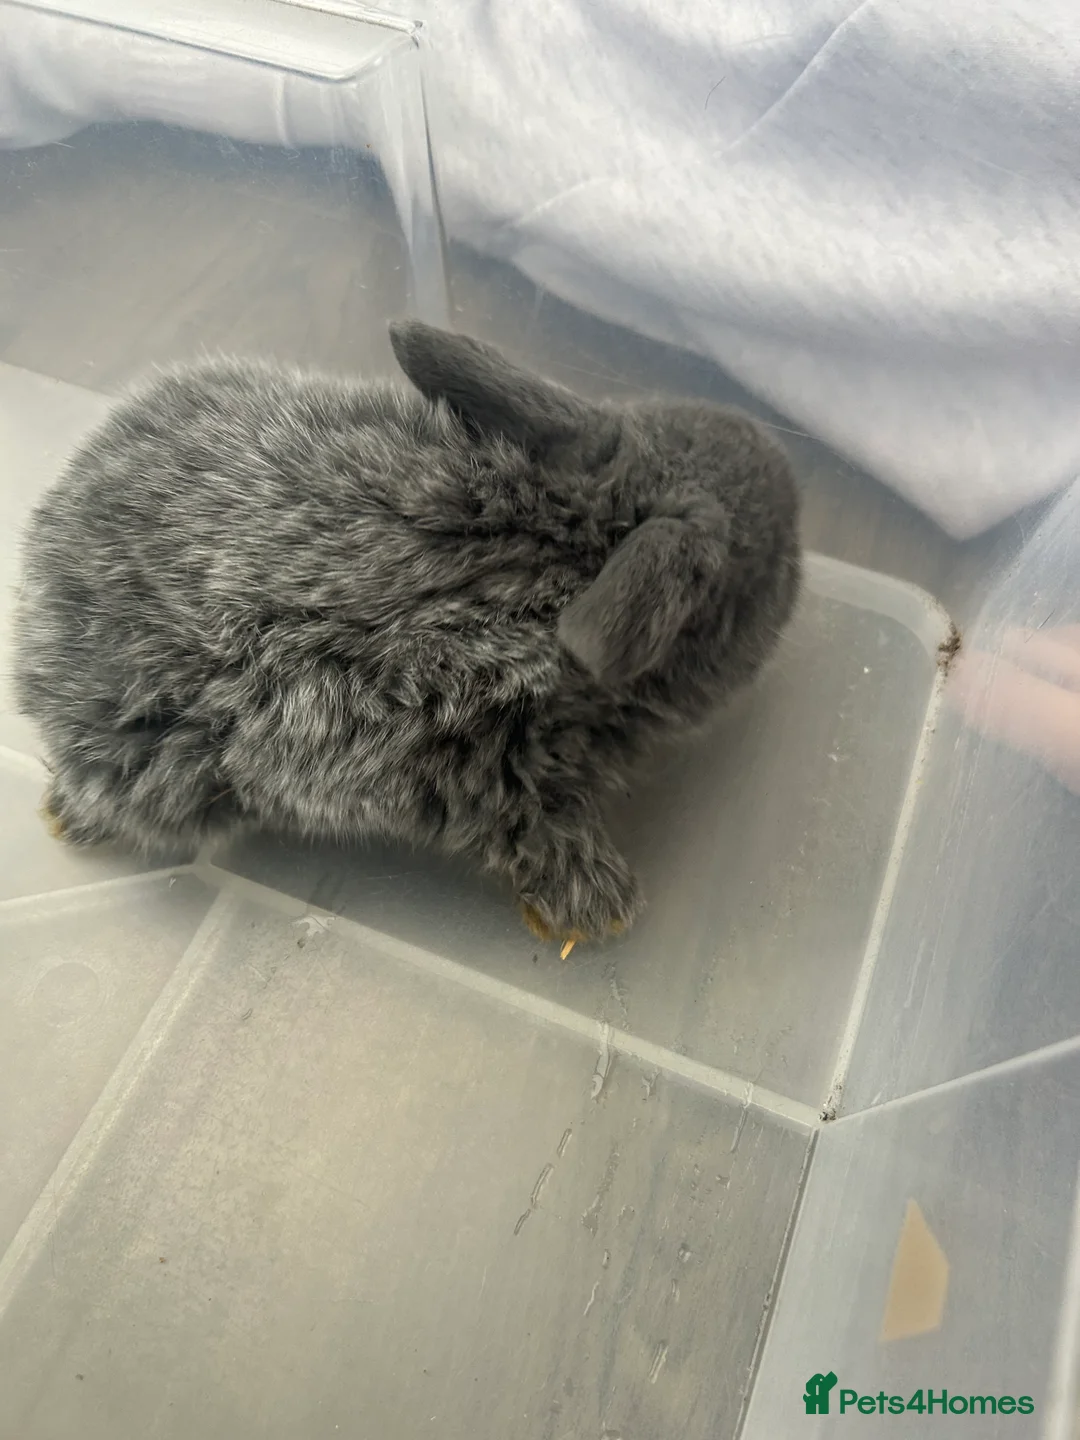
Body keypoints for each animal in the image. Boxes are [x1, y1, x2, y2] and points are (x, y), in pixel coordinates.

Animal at [13, 321, 801, 944]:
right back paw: (64, 818)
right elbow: (541, 833)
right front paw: (600, 911)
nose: (789, 472)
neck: (558, 552)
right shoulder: (503, 775)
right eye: (763, 575)